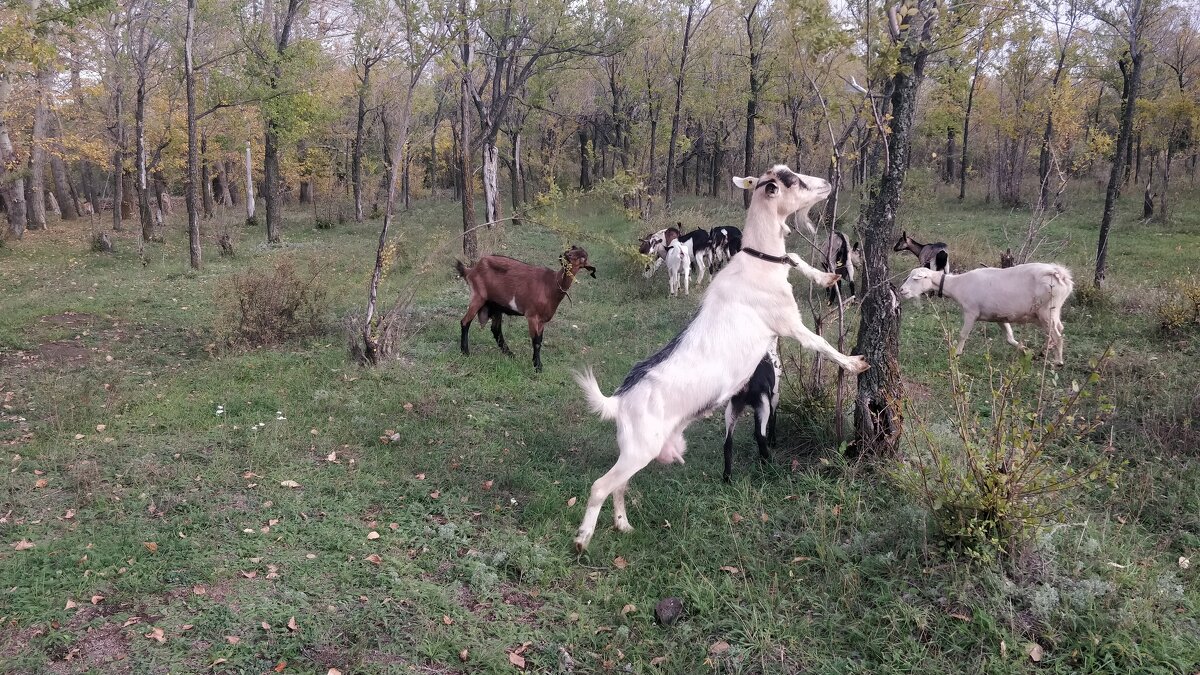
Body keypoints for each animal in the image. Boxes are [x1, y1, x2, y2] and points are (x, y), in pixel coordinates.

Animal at [453, 243, 595, 369]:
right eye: (572, 248)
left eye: (583, 258)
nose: (567, 255)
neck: (551, 285)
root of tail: (471, 270)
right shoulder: (532, 315)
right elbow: (536, 341)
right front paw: (538, 367)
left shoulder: (542, 320)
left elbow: (540, 340)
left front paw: (536, 363)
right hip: (478, 297)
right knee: (465, 322)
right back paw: (465, 352)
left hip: (496, 305)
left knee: (496, 329)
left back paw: (510, 354)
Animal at [573, 164, 873, 552]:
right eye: (793, 182)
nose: (826, 183)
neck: (758, 263)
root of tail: (619, 402)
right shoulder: (788, 323)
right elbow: (821, 344)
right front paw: (854, 363)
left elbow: (794, 257)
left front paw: (826, 275)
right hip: (640, 449)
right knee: (600, 486)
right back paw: (583, 539)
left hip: (636, 452)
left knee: (619, 486)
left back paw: (623, 525)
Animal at [897, 261, 1075, 362]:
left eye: (916, 279)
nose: (901, 290)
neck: (957, 285)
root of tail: (1060, 274)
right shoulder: (1000, 316)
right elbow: (1009, 338)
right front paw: (1025, 350)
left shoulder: (971, 312)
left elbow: (963, 335)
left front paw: (957, 354)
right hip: (1051, 312)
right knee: (1058, 330)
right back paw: (1044, 352)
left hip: (1047, 311)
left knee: (1057, 336)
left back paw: (1058, 361)